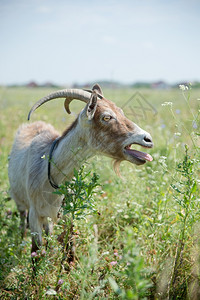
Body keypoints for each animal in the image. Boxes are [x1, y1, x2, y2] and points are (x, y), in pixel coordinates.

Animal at [7, 84, 153, 253]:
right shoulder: (34, 214)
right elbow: (35, 250)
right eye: (106, 117)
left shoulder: (67, 214)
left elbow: (69, 248)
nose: (148, 139)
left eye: (121, 112)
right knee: (22, 219)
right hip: (20, 202)